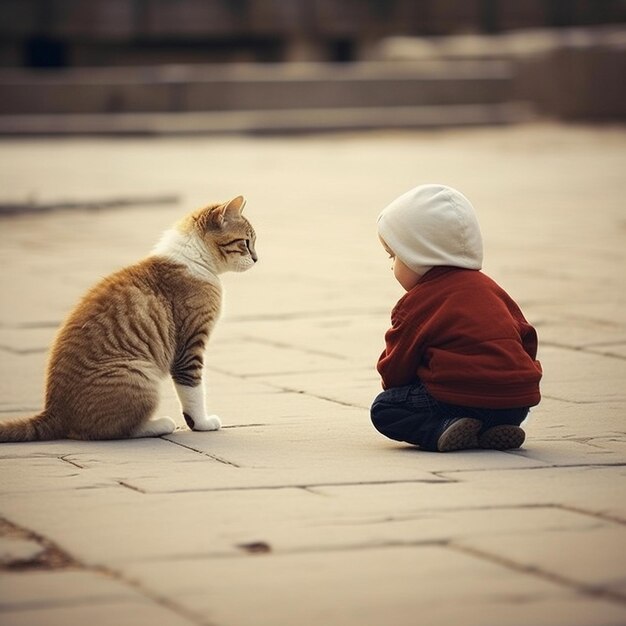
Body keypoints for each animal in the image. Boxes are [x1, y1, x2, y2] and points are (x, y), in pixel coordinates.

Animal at [0, 193, 256, 442]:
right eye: (246, 242)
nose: (256, 259)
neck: (192, 259)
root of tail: (54, 411)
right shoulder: (189, 346)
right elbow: (193, 389)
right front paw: (202, 423)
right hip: (140, 376)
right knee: (112, 430)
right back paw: (160, 424)